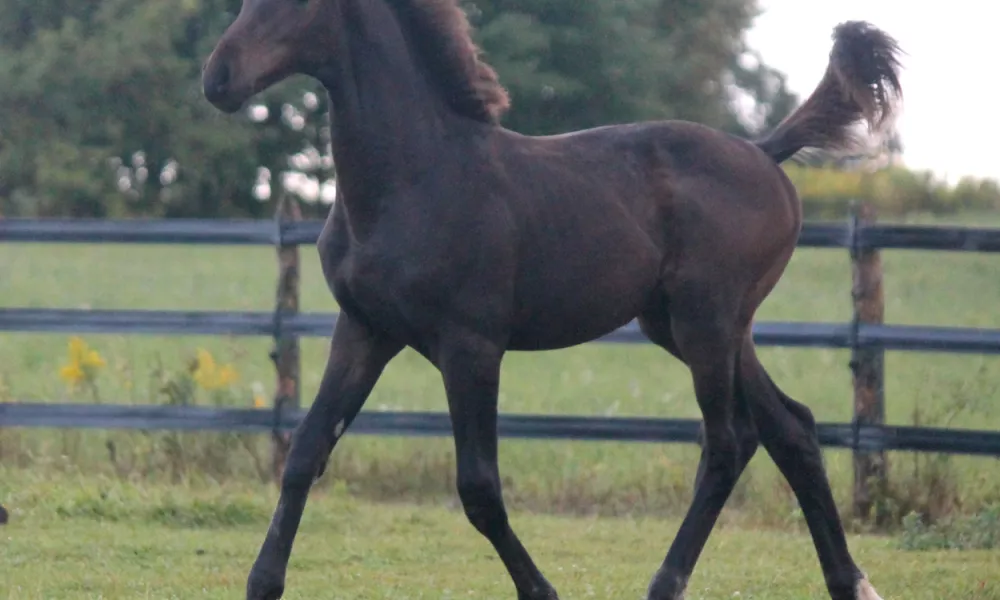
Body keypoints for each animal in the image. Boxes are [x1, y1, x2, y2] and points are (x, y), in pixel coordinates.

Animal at [201, 2, 900, 596]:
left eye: (295, 1)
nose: (218, 79)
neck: (414, 177)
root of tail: (762, 152)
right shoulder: (365, 331)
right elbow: (306, 450)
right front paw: (262, 583)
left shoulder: (471, 345)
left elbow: (479, 488)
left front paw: (540, 589)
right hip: (699, 327)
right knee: (790, 430)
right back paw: (851, 582)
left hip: (705, 323)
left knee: (727, 444)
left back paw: (666, 583)